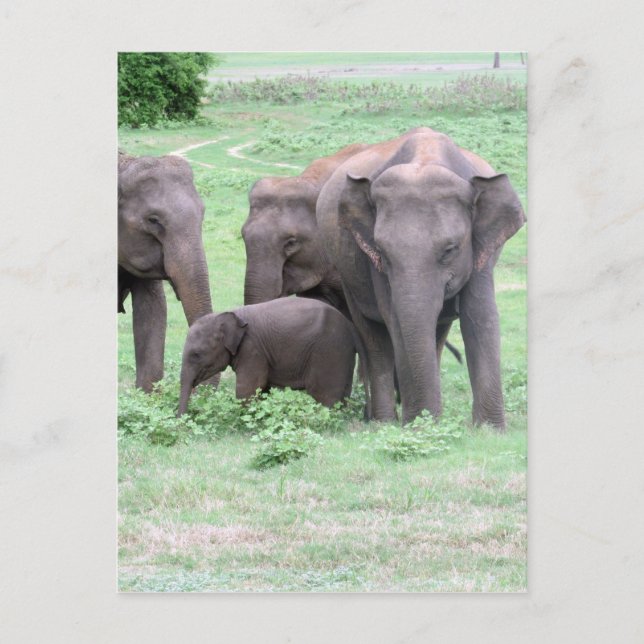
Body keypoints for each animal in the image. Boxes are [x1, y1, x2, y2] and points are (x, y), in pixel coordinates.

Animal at [177, 298, 365, 416]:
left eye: (196, 355)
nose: (183, 419)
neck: (230, 314)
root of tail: (352, 330)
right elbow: (262, 388)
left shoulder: (252, 349)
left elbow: (248, 387)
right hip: (342, 355)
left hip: (329, 351)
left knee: (325, 396)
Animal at [316, 127, 526, 428]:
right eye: (382, 251)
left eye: (450, 250)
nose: (425, 420)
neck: (426, 157)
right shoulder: (372, 260)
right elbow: (395, 319)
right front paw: (421, 426)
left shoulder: (482, 247)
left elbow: (480, 315)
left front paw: (489, 429)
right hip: (347, 275)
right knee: (374, 338)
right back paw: (383, 422)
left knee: (438, 331)